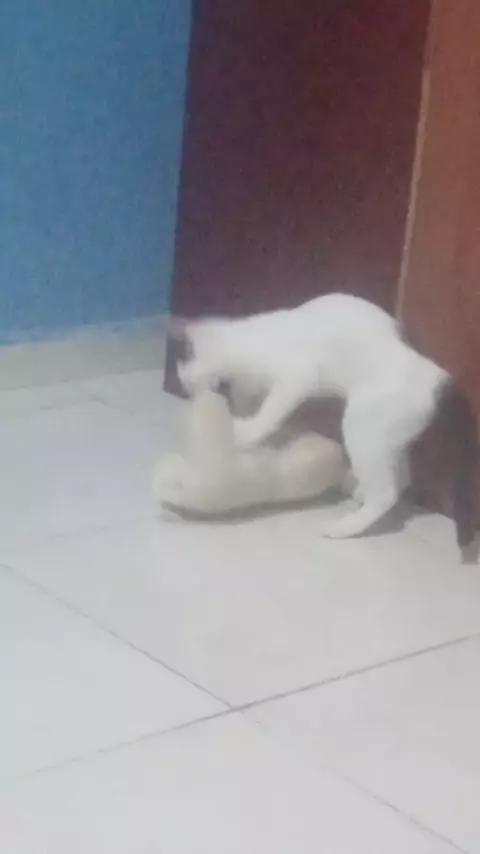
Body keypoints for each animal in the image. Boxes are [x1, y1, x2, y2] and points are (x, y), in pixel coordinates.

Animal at [170, 293, 477, 544]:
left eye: (190, 383)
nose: (194, 397)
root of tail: (436, 376)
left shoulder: (295, 379)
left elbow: (270, 413)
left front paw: (244, 434)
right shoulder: (252, 389)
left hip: (361, 428)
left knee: (387, 492)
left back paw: (344, 527)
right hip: (387, 439)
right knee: (401, 478)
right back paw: (359, 493)